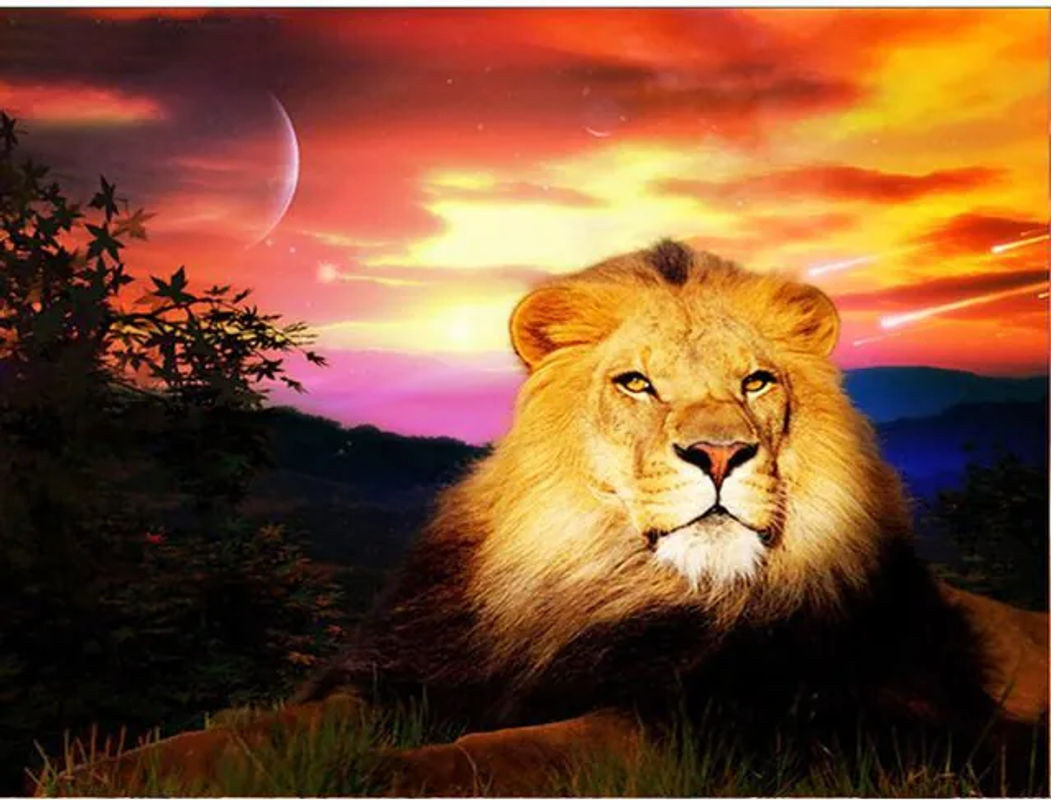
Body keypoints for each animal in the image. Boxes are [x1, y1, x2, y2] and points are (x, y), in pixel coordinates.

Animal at [50, 241, 1048, 796]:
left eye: (757, 382)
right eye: (635, 383)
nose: (719, 454)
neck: (604, 584)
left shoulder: (776, 722)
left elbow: (533, 749)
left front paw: (382, 776)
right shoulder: (406, 674)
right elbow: (239, 732)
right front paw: (95, 771)